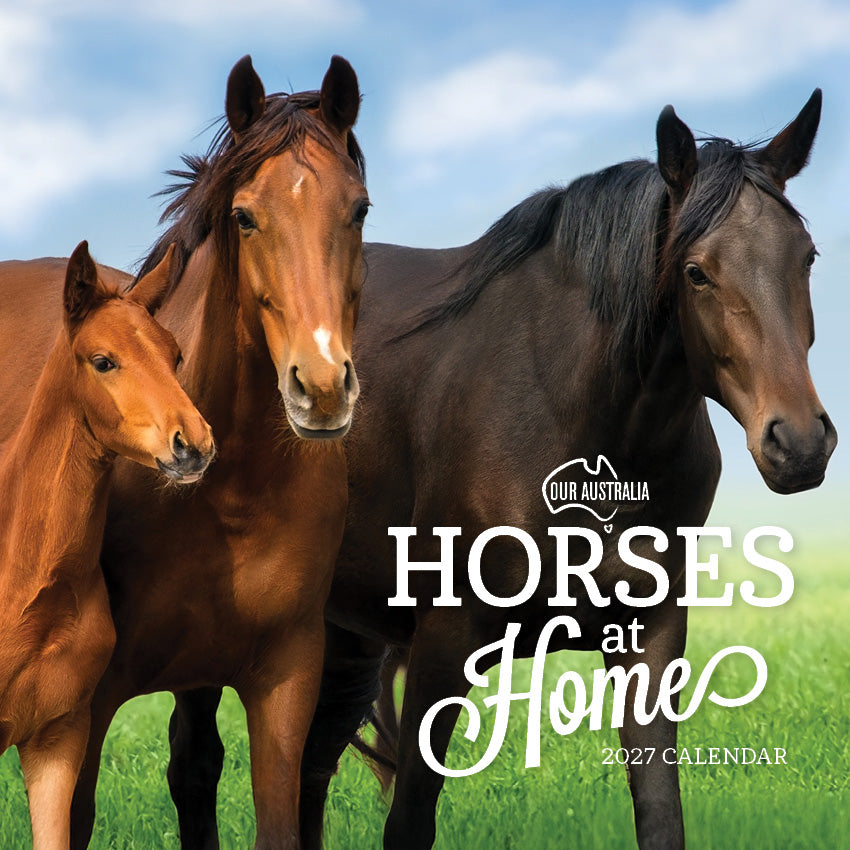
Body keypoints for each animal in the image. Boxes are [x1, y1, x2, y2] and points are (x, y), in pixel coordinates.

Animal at [166, 92, 836, 848]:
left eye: (806, 257)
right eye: (696, 271)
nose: (800, 442)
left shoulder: (650, 635)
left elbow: (661, 815)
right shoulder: (444, 645)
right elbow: (409, 818)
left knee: (307, 769)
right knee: (197, 763)